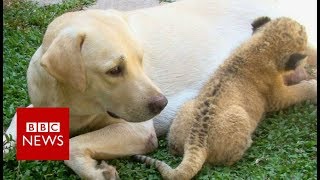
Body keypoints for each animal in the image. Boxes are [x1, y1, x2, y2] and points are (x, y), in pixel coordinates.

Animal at [3, 0, 316, 179]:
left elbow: (71, 146)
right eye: (114, 70)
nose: (162, 104)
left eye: (141, 59)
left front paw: (96, 171)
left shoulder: (137, 131)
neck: (75, 103)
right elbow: (14, 126)